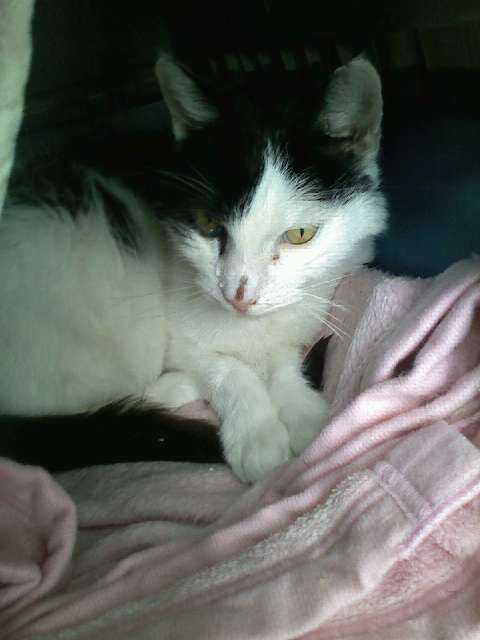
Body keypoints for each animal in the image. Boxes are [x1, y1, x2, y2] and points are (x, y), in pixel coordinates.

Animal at [0, 1, 388, 482]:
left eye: (300, 234)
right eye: (207, 224)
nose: (238, 295)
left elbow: (282, 353)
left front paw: (301, 413)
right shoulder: (178, 331)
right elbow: (224, 366)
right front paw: (257, 436)